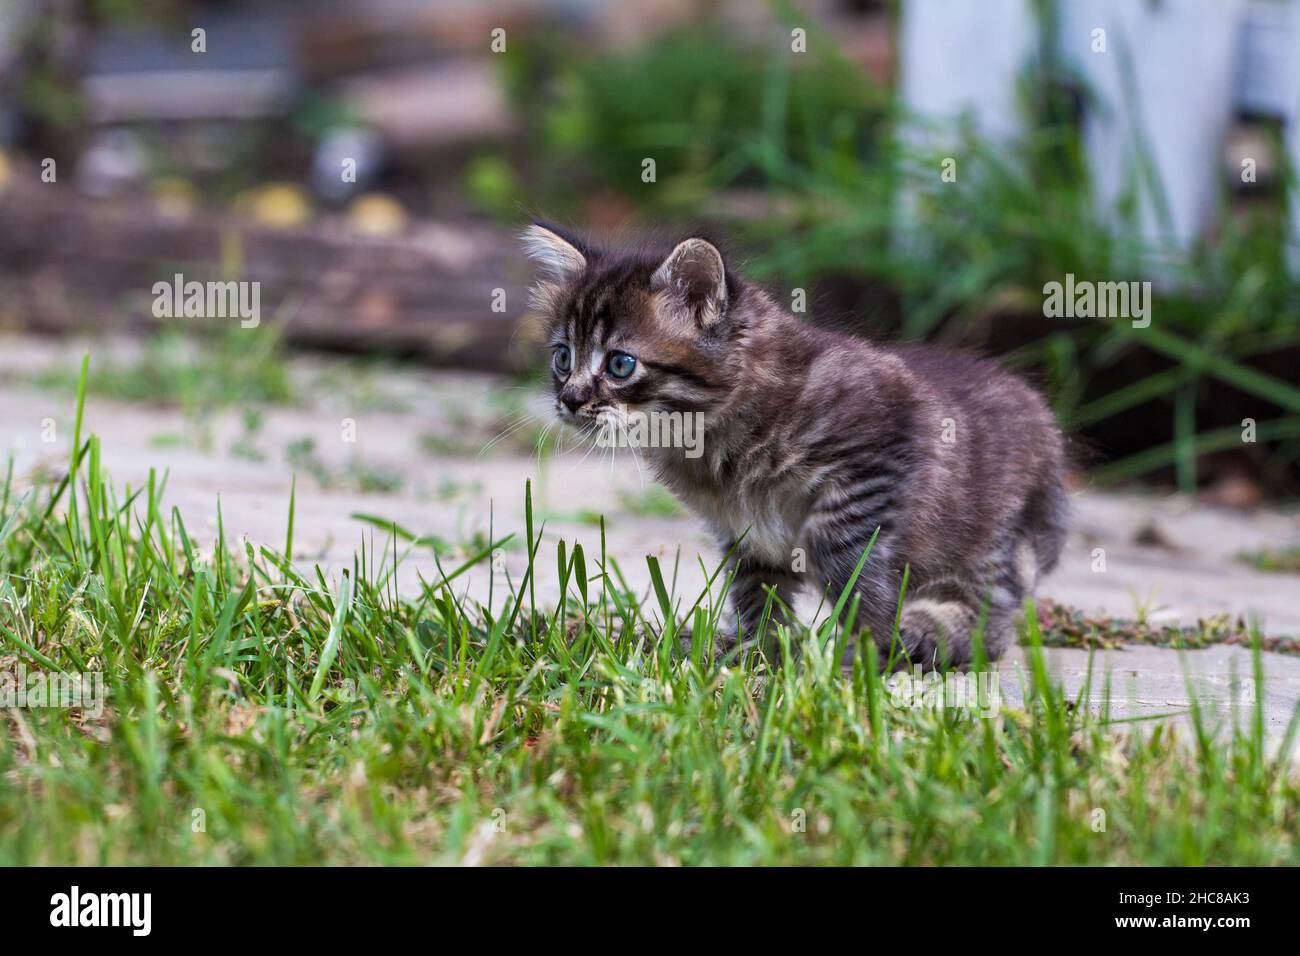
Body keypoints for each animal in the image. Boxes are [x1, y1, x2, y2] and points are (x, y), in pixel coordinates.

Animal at [522, 227, 1071, 671]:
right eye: (563, 358)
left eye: (619, 364)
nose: (570, 400)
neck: (711, 436)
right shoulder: (743, 531)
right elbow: (755, 591)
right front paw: (758, 652)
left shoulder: (876, 456)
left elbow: (845, 560)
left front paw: (869, 644)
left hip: (995, 539)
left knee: (993, 617)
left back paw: (930, 637)